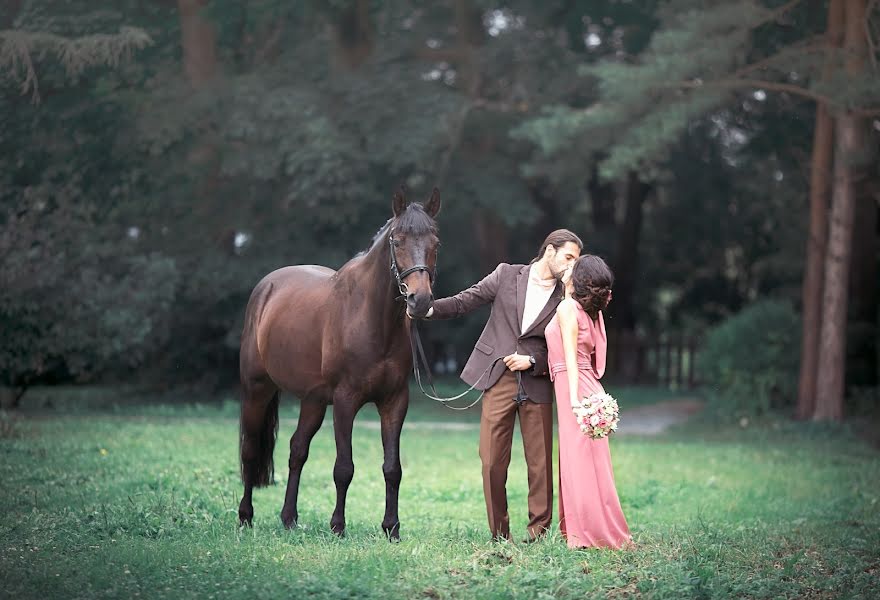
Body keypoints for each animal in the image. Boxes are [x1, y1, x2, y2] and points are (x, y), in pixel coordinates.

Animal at [237, 185, 440, 540]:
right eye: (397, 241)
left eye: (435, 243)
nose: (420, 300)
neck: (371, 317)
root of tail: (266, 287)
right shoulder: (346, 401)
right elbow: (344, 467)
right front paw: (338, 526)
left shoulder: (394, 401)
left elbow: (392, 468)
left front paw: (391, 528)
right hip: (257, 390)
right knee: (250, 451)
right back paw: (246, 516)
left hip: (313, 401)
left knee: (297, 450)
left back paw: (289, 518)